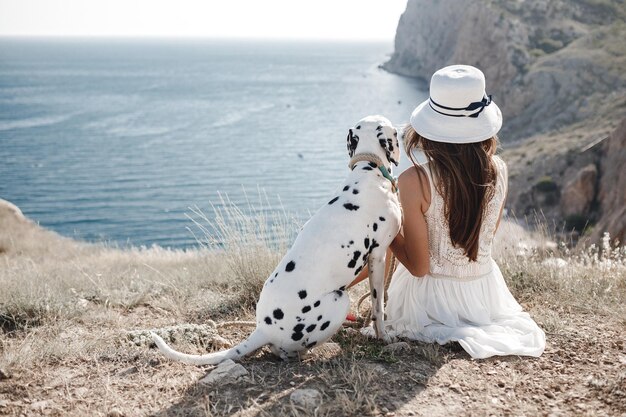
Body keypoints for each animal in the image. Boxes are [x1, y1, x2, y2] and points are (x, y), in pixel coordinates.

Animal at [151, 114, 400, 364]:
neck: (368, 171)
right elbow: (379, 306)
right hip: (340, 300)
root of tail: (263, 329)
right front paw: (383, 336)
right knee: (284, 352)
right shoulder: (378, 256)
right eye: (395, 132)